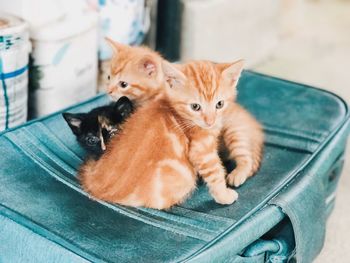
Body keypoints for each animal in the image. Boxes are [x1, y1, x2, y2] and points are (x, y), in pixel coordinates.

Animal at [80, 60, 243, 210]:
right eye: (195, 106)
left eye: (219, 104)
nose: (210, 122)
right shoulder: (202, 150)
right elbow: (215, 173)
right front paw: (224, 195)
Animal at [105, 39, 264, 188]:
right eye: (108, 78)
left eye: (123, 84)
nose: (108, 91)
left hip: (235, 130)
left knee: (246, 155)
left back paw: (238, 174)